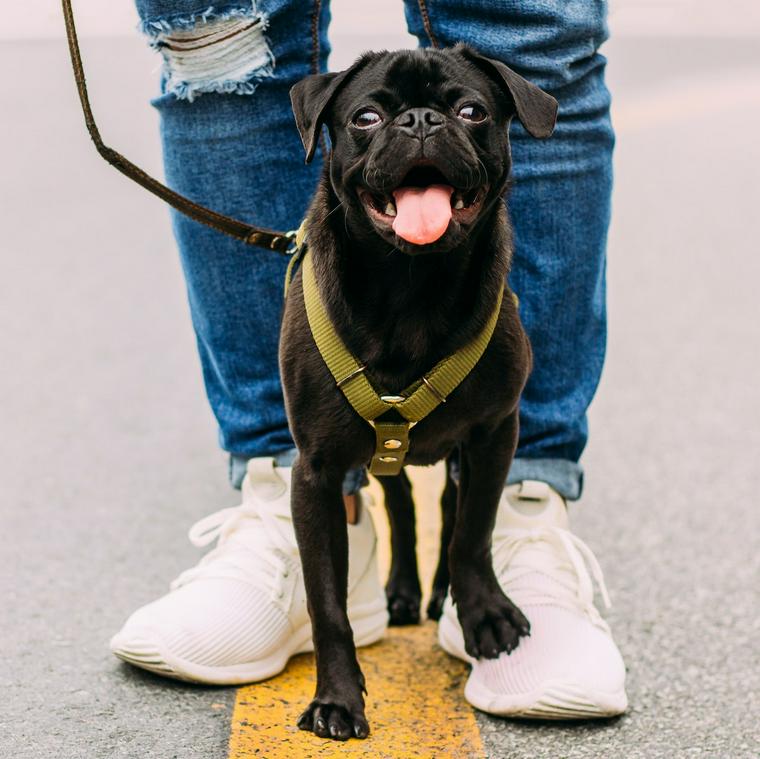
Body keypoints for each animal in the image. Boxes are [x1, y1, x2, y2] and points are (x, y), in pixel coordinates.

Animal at [282, 43, 556, 744]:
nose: (422, 121)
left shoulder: (495, 433)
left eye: (472, 111)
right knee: (403, 501)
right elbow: (327, 602)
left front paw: (482, 613)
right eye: (367, 118)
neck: (411, 286)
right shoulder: (315, 473)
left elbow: (472, 531)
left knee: (450, 505)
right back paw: (404, 590)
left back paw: (438, 595)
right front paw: (337, 699)